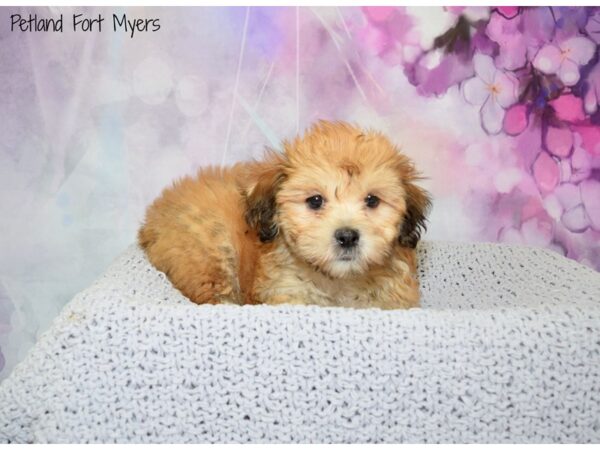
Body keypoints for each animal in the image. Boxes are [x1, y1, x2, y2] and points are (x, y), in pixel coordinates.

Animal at [139, 119, 432, 310]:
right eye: (315, 201)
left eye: (372, 200)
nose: (347, 236)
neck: (340, 282)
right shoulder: (287, 292)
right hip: (208, 250)